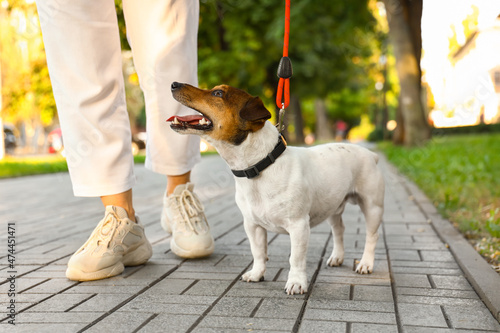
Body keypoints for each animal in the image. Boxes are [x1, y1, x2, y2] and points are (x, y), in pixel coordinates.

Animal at [170, 81, 384, 294]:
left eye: (218, 93)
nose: (174, 84)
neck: (260, 166)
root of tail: (372, 155)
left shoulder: (299, 226)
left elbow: (296, 258)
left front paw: (296, 282)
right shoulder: (252, 225)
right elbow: (258, 252)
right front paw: (257, 274)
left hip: (372, 207)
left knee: (372, 236)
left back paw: (365, 263)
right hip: (332, 206)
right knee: (339, 229)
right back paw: (337, 257)